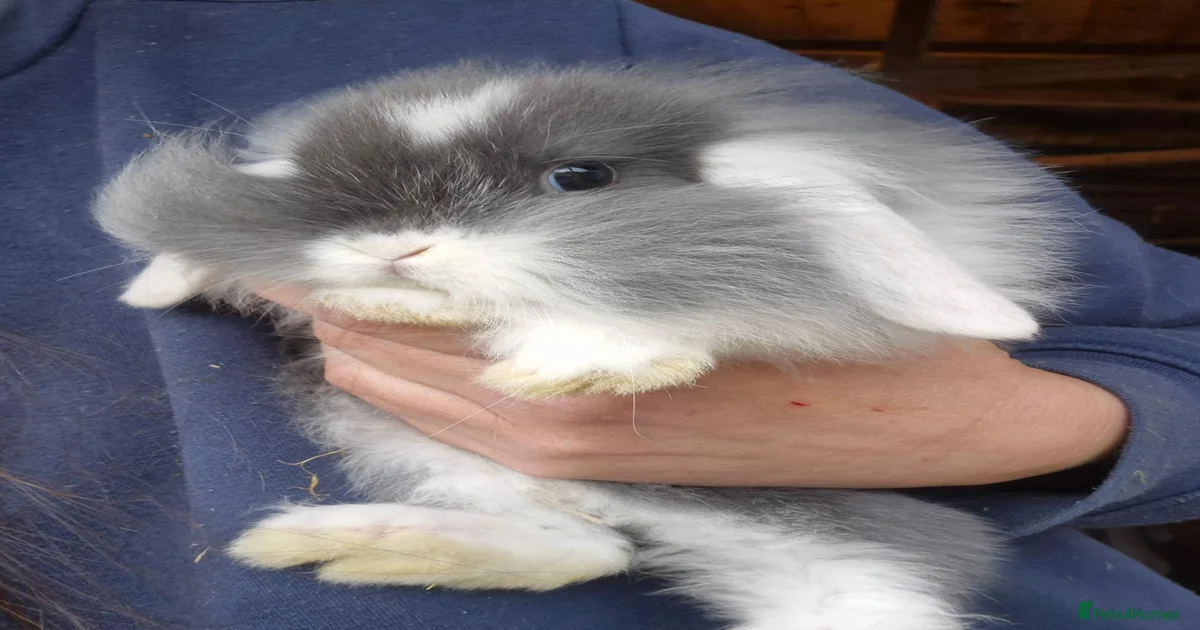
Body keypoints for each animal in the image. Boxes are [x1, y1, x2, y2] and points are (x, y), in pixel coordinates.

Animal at [94, 62, 1078, 630]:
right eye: (332, 193)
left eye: (580, 179)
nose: (397, 248)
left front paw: (586, 362)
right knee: (588, 549)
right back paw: (354, 542)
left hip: (850, 570)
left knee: (604, 551)